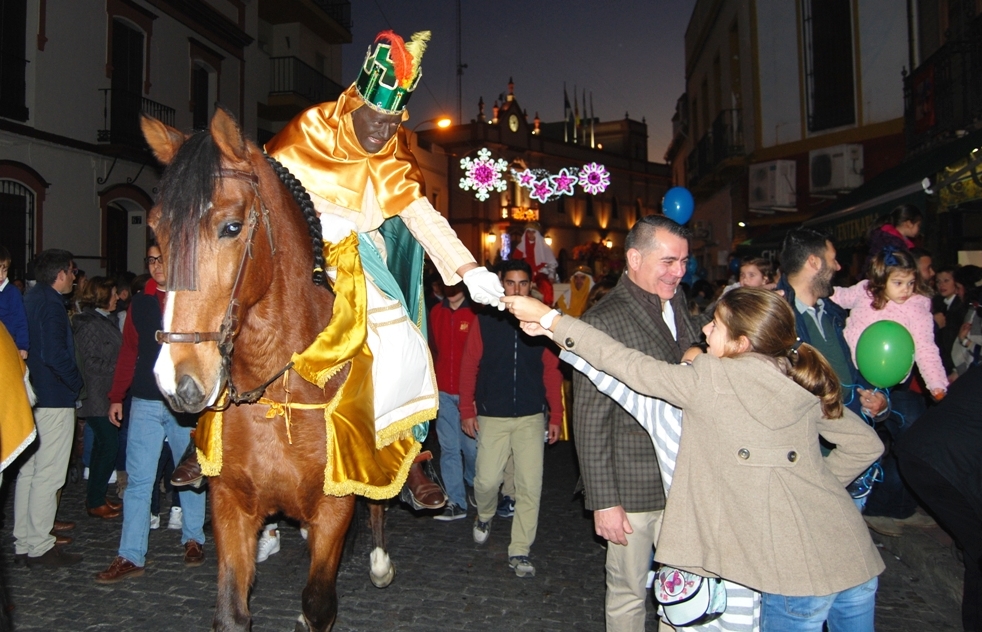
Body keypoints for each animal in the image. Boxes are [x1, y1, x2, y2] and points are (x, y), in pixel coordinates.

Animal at [143, 110, 396, 632]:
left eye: (232, 226)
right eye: (156, 231)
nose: (178, 379)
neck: (279, 388)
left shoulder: (334, 506)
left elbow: (317, 605)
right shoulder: (231, 503)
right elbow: (232, 611)